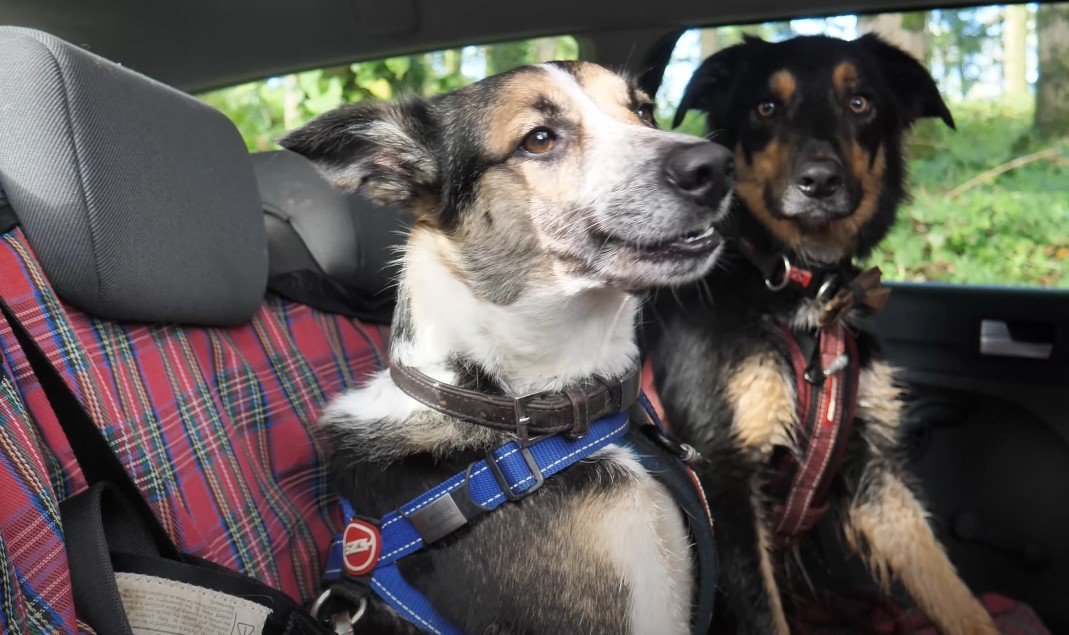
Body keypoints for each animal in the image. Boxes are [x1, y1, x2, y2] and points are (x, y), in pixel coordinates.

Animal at [641, 33, 1000, 632]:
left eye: (860, 103)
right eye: (766, 107)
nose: (820, 181)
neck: (798, 290)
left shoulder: (874, 473)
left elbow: (954, 595)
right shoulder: (726, 482)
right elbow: (766, 616)